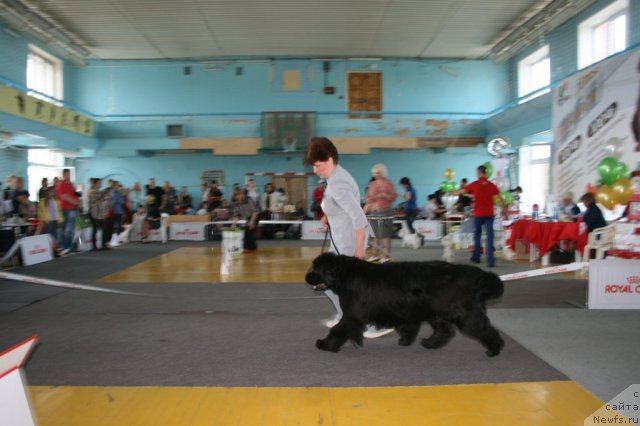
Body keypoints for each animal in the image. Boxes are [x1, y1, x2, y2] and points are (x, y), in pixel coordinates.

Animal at [304, 253, 504, 356]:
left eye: (316, 268)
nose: (306, 277)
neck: (345, 274)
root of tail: (474, 274)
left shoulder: (352, 315)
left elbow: (338, 329)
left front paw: (326, 344)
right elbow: (407, 327)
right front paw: (406, 340)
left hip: (464, 313)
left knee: (483, 329)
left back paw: (494, 349)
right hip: (437, 311)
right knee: (445, 330)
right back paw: (430, 343)